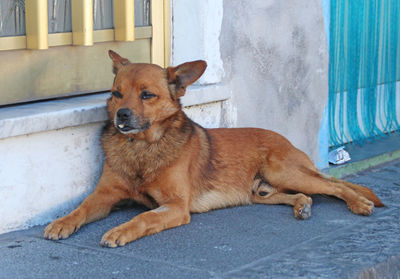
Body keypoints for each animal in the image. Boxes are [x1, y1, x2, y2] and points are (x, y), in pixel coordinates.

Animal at [42, 50, 382, 247]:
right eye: (116, 93)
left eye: (147, 95)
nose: (121, 116)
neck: (141, 148)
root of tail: (286, 141)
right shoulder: (104, 195)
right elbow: (81, 208)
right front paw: (62, 222)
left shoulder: (175, 207)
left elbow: (143, 218)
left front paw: (120, 230)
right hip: (260, 192)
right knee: (303, 193)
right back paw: (302, 205)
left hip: (283, 172)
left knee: (335, 186)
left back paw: (359, 203)